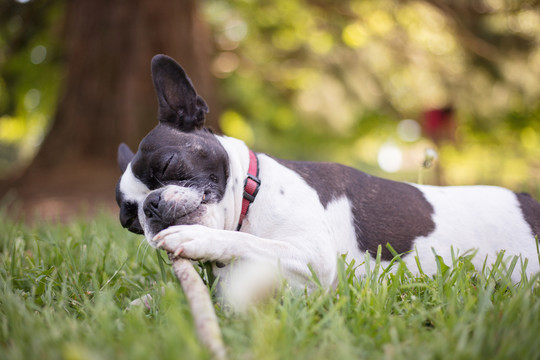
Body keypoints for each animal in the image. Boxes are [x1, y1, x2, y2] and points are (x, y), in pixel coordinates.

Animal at [118, 54, 540, 308]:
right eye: (130, 223)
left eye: (168, 164)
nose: (151, 207)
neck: (251, 199)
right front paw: (144, 304)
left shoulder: (314, 257)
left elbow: (249, 242)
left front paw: (196, 238)